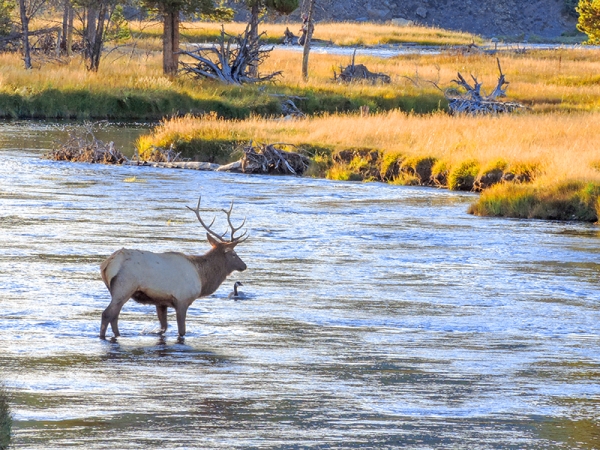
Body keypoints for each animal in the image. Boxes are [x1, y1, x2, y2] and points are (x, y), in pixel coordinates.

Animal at [99, 195, 247, 340]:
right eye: (234, 254)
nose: (244, 266)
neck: (202, 277)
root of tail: (108, 263)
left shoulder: (161, 302)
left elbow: (163, 327)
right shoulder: (182, 300)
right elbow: (181, 331)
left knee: (114, 316)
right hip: (124, 287)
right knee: (107, 314)